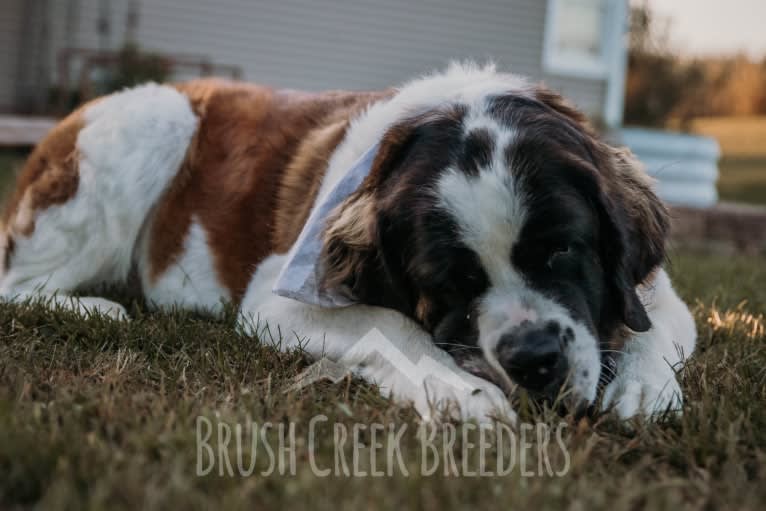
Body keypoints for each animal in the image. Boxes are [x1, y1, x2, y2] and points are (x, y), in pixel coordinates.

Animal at [0, 63, 700, 424]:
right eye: (453, 281)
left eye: (561, 250)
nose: (532, 358)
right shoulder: (280, 298)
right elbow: (389, 326)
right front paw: (459, 389)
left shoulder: (656, 289)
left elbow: (655, 321)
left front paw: (642, 388)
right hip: (156, 121)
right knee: (15, 286)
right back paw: (100, 308)